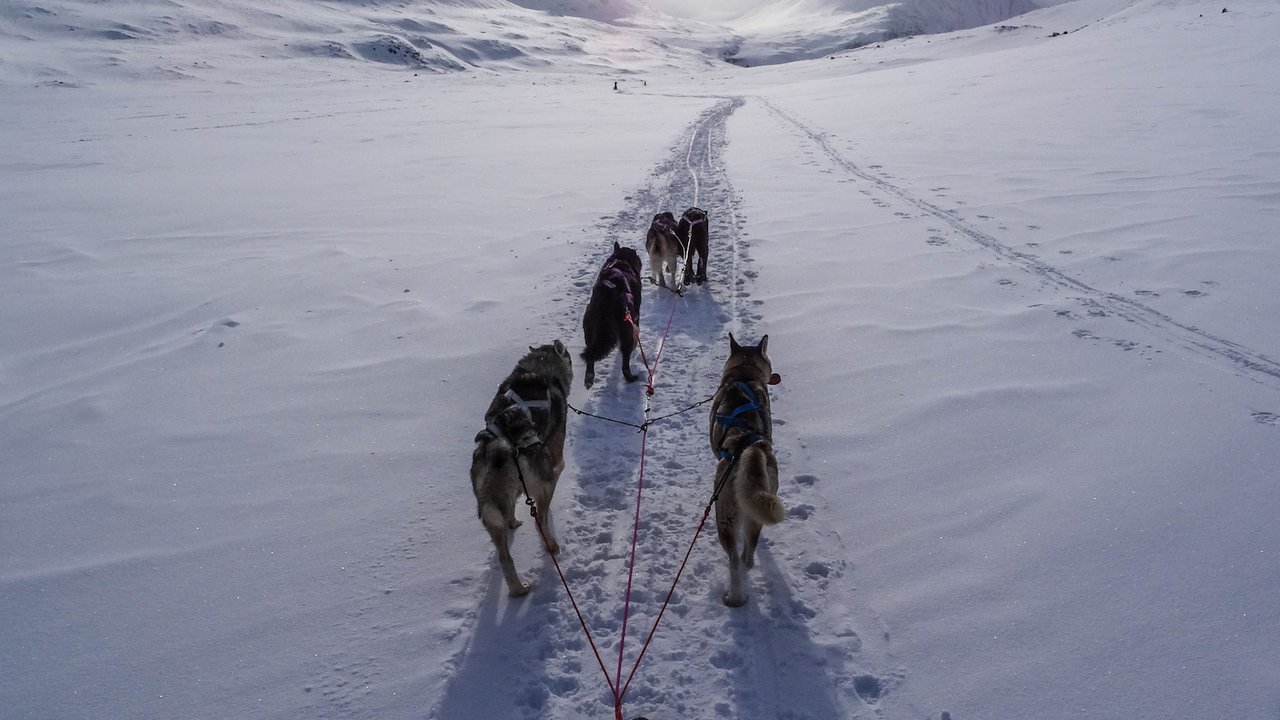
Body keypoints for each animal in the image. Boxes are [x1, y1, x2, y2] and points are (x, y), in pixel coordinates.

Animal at [468, 338, 573, 597]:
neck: (541, 368)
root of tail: (497, 446)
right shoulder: (555, 453)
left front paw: (513, 520)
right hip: (543, 483)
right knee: (540, 520)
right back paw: (551, 545)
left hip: (490, 510)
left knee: (505, 556)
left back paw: (517, 588)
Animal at [581, 240, 645, 386]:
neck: (621, 260)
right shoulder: (636, 316)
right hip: (627, 330)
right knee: (625, 365)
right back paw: (631, 378)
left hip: (589, 330)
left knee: (590, 357)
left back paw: (589, 377)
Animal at [706, 333, 783, 602]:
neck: (744, 377)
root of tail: (750, 447)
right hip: (759, 508)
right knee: (747, 558)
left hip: (724, 517)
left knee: (735, 562)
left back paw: (734, 597)